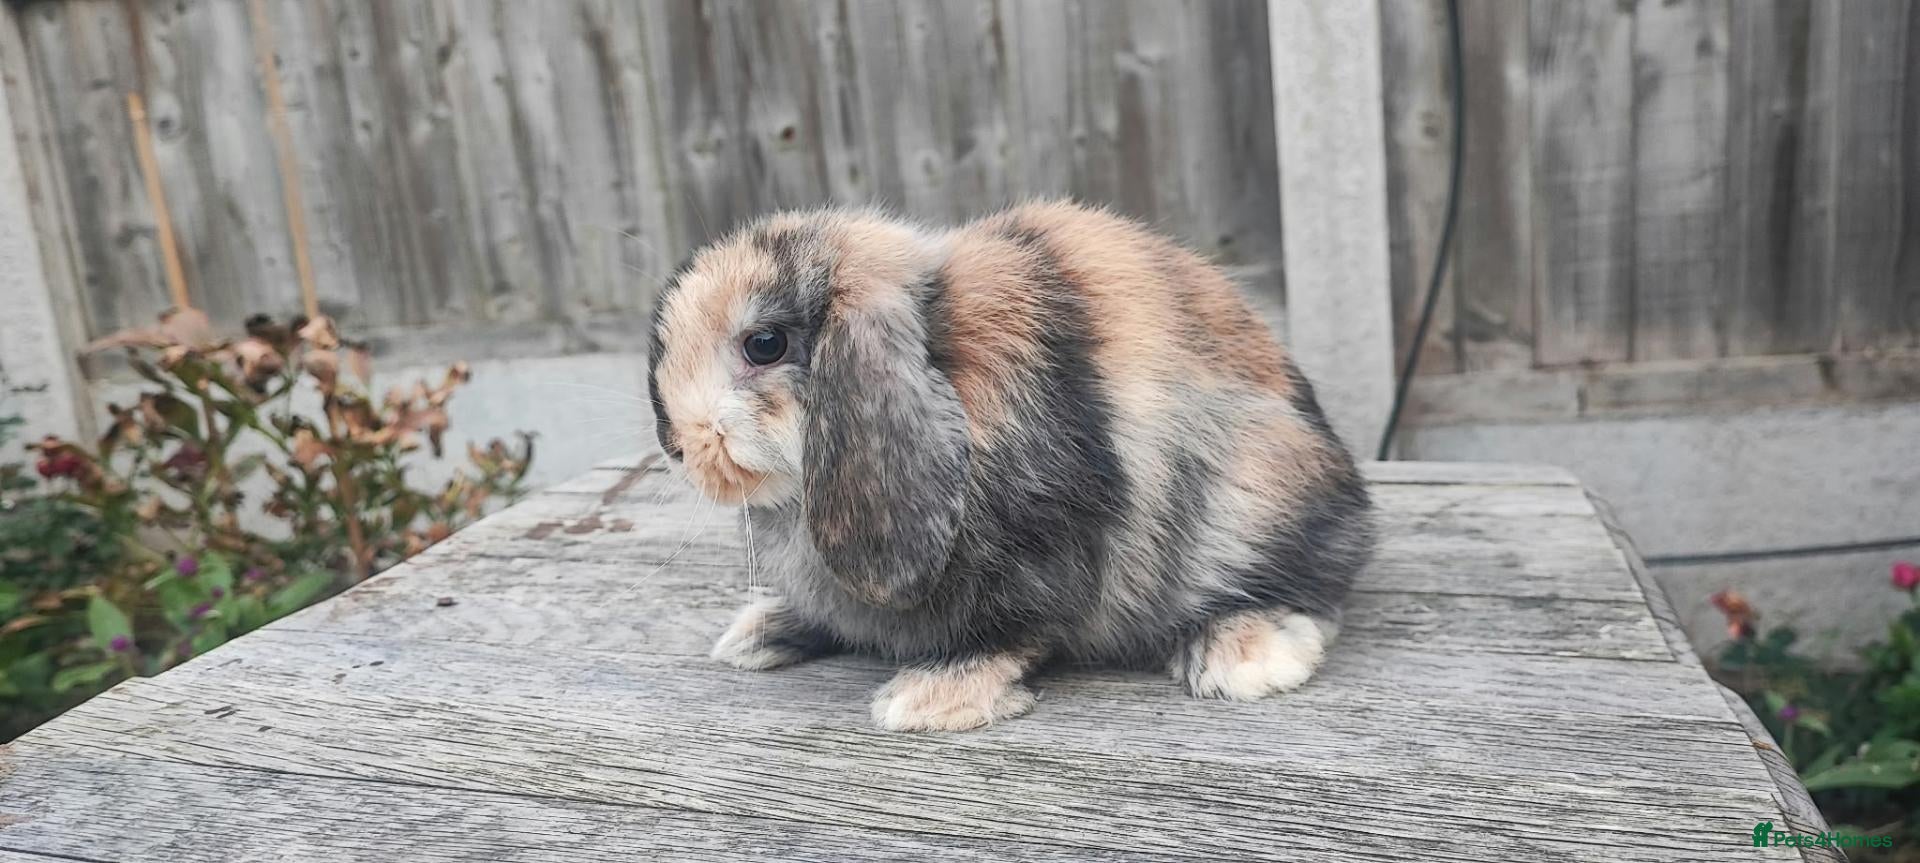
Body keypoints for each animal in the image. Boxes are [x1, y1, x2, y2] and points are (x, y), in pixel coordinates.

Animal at [646, 201, 1374, 732]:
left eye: (764, 343)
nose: (675, 444)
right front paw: (758, 632)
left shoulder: (1040, 556)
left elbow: (1009, 634)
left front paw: (926, 701)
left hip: (1262, 495)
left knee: (1310, 587)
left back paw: (1244, 654)